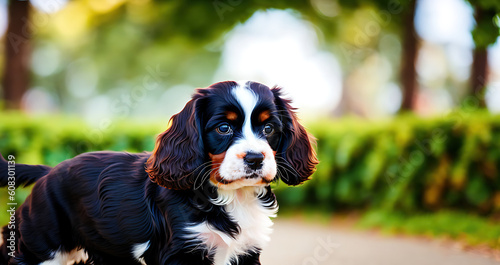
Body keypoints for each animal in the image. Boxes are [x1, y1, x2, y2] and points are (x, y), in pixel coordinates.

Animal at [0, 80, 318, 264]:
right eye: (224, 128)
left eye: (269, 128)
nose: (254, 158)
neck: (230, 197)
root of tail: (48, 172)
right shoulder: (178, 253)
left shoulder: (246, 252)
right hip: (41, 246)